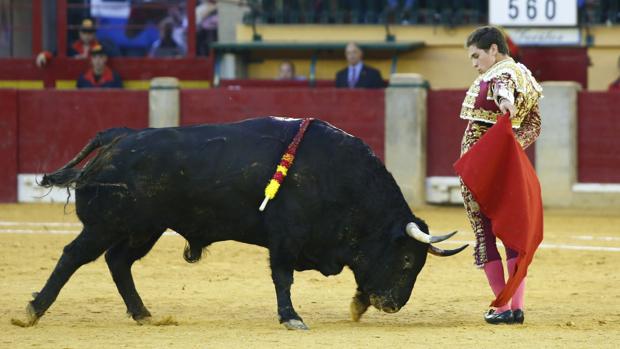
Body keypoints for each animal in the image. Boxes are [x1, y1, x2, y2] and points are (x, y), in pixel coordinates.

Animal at [14, 117, 464, 328]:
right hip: (105, 225)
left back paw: (143, 314)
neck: (340, 177)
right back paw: (32, 311)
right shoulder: (285, 238)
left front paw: (357, 304)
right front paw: (291, 318)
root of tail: (119, 136)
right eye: (406, 261)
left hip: (144, 228)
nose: (392, 305)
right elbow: (283, 277)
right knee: (73, 257)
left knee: (118, 262)